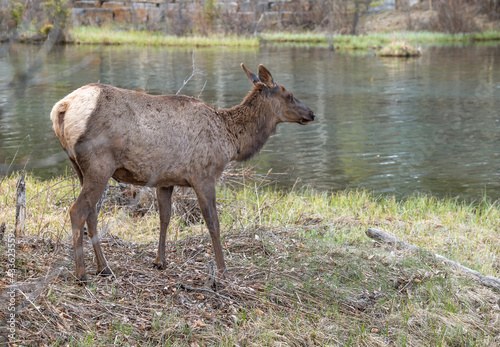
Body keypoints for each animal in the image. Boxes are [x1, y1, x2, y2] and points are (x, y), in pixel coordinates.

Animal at [51, 64, 316, 284]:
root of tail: (61, 108)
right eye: (289, 95)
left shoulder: (165, 180)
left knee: (92, 213)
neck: (230, 142)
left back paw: (104, 268)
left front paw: (160, 261)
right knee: (78, 210)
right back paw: (82, 274)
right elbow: (213, 223)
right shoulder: (204, 175)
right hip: (99, 163)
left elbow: (164, 218)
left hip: (79, 166)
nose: (311, 113)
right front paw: (223, 270)